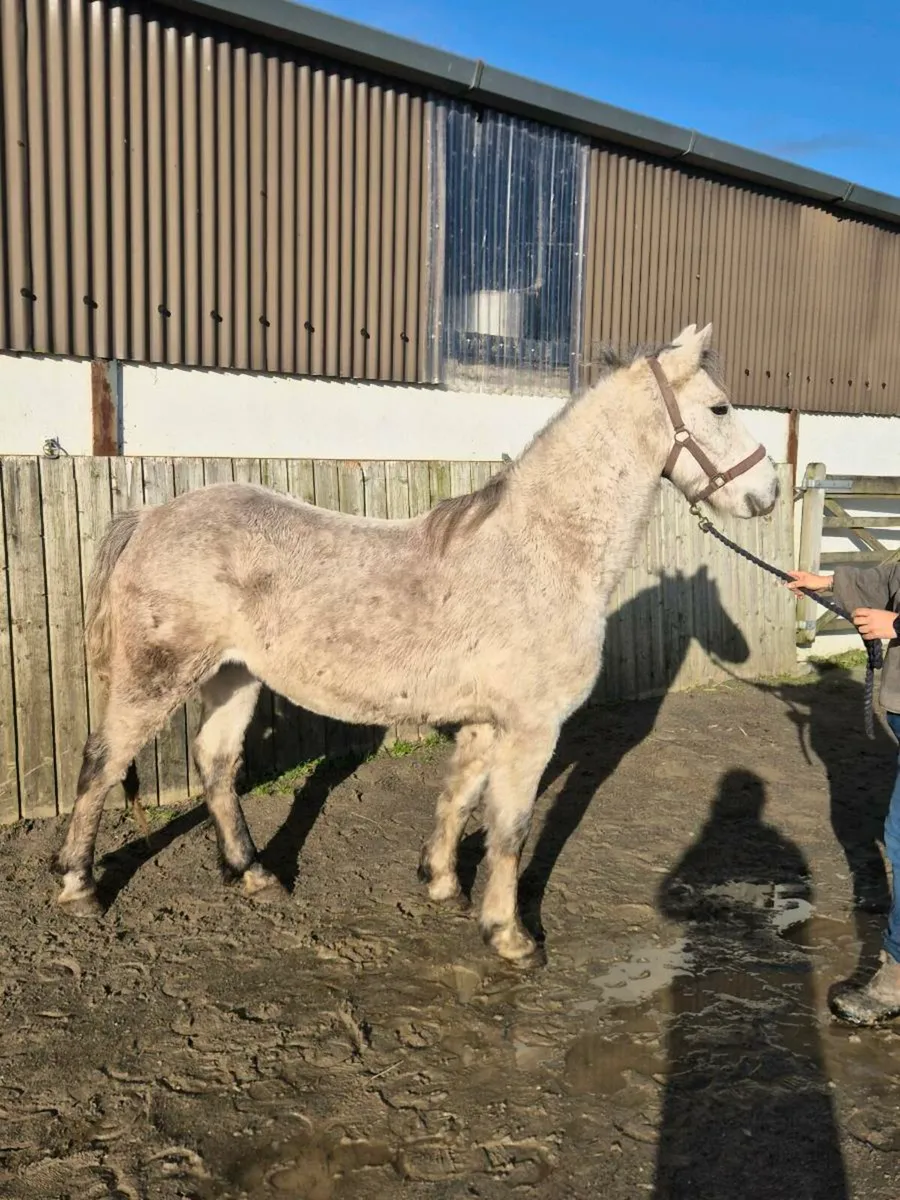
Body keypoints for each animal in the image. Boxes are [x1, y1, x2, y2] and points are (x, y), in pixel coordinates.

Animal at [51, 322, 779, 965]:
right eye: (720, 406)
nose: (767, 492)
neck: (542, 552)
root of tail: (151, 516)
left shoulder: (487, 722)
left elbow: (458, 797)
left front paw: (441, 883)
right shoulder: (532, 727)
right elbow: (512, 829)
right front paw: (510, 936)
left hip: (234, 675)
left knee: (217, 763)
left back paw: (255, 875)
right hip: (158, 678)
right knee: (102, 763)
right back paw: (79, 887)